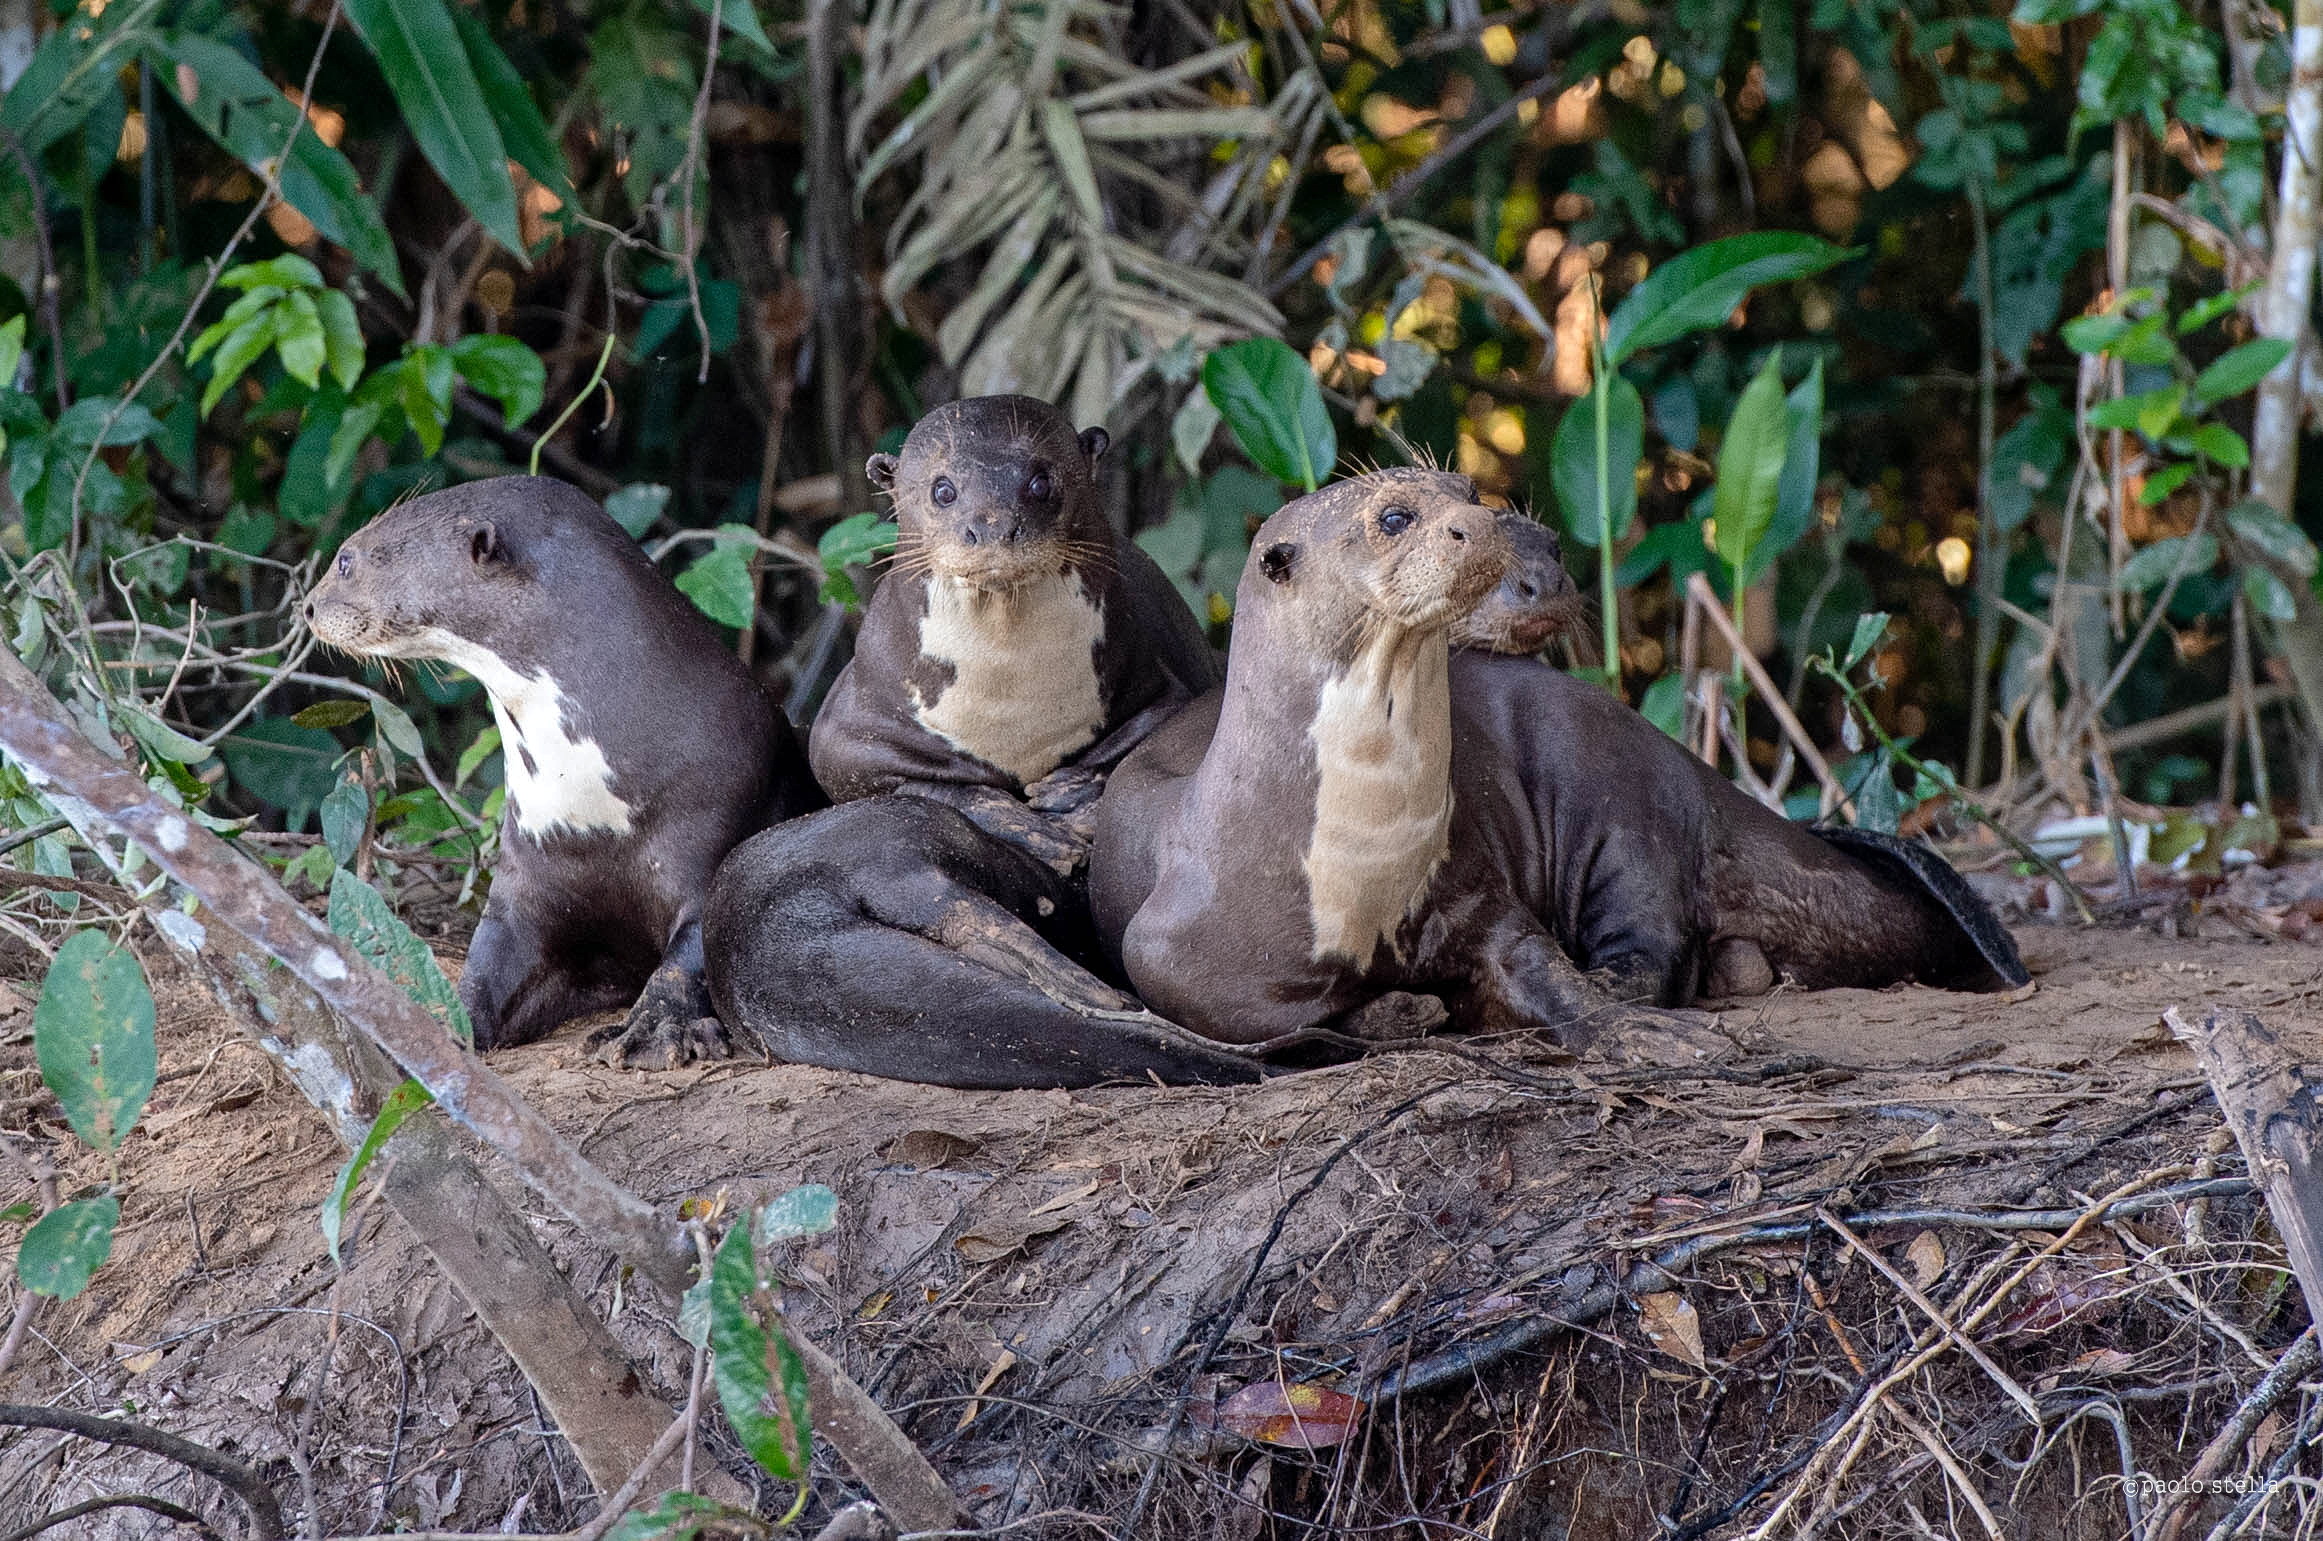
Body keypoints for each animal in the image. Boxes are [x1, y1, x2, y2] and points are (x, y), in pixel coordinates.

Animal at [304, 476, 824, 1060]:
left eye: (346, 560)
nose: (309, 606)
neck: (590, 801)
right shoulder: (526, 880)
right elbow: (483, 970)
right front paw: (441, 1027)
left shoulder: (714, 826)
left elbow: (690, 953)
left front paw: (652, 1028)